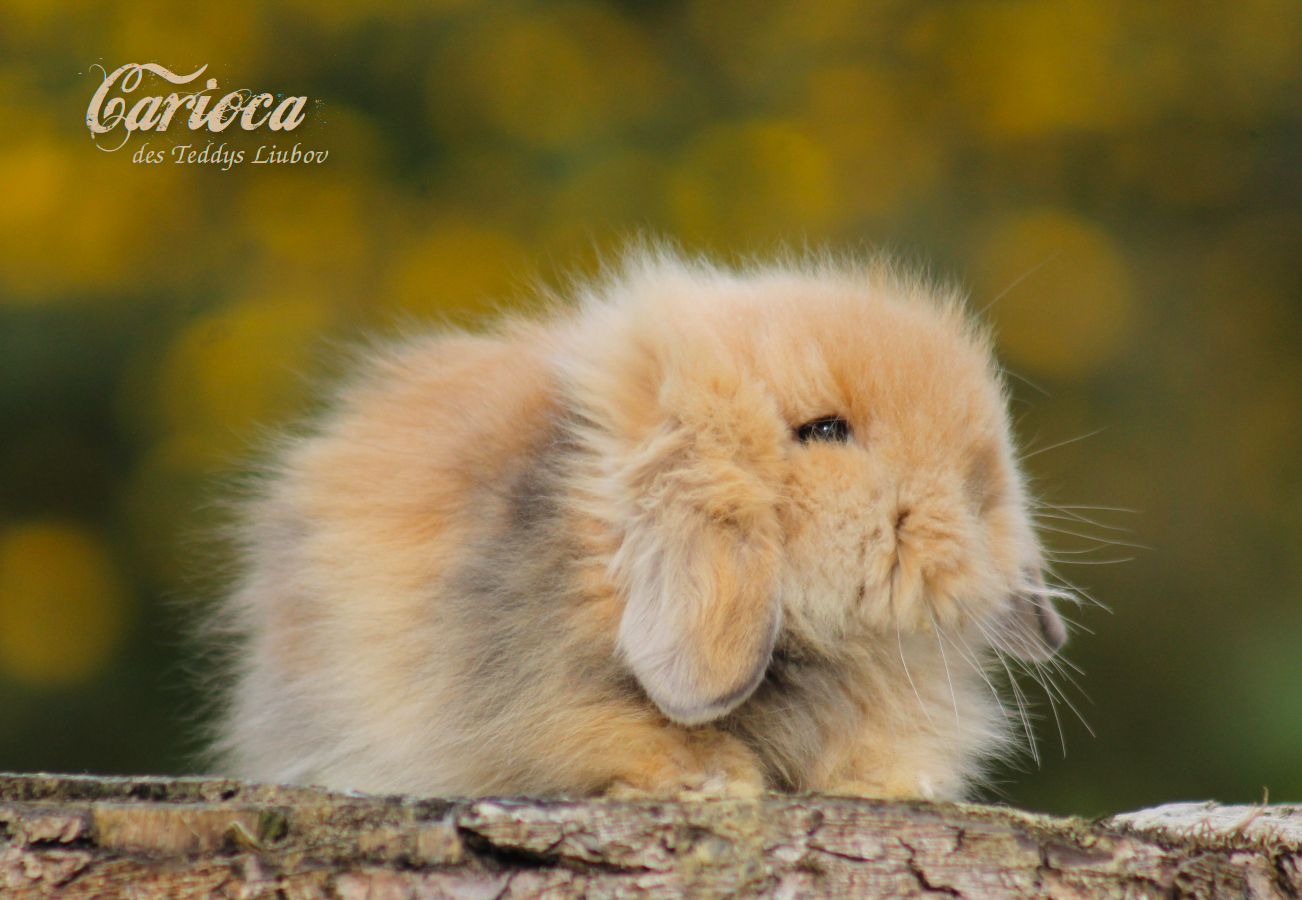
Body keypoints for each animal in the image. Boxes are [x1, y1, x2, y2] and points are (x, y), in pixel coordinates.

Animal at [210, 249, 1069, 801]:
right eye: (824, 431)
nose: (981, 497)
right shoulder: (527, 702)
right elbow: (609, 732)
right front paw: (717, 779)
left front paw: (891, 782)